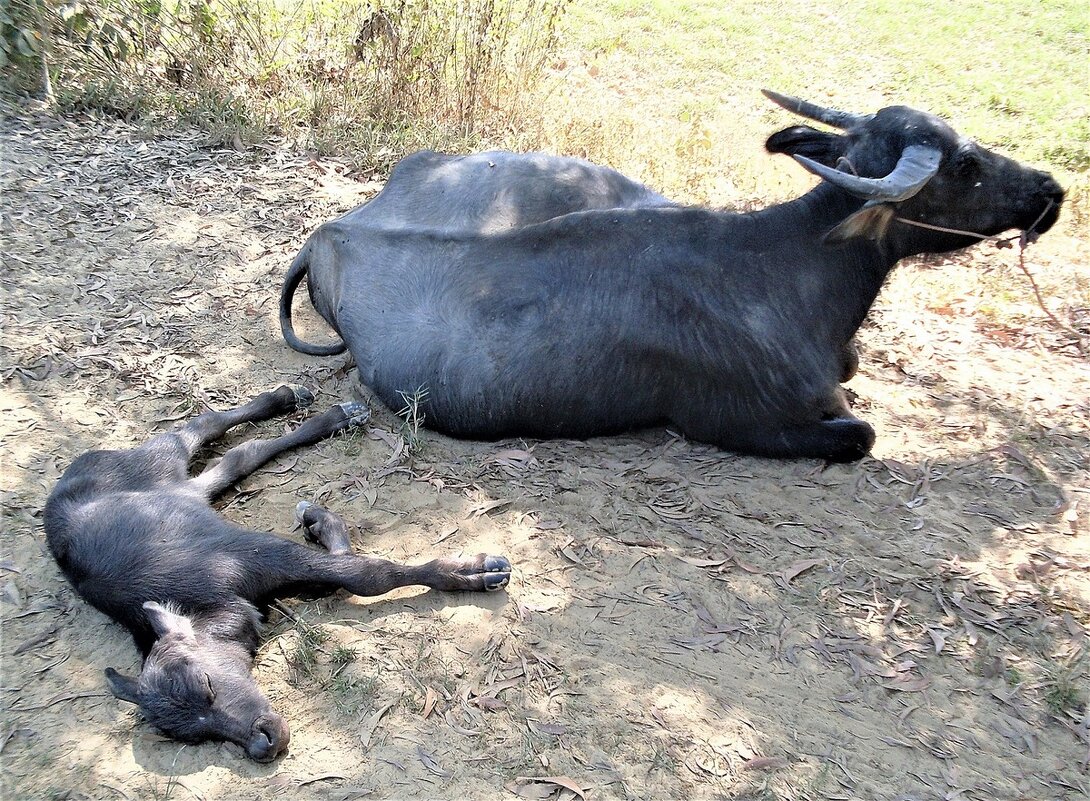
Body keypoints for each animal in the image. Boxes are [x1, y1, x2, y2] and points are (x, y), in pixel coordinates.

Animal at [279, 91, 1063, 464]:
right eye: (964, 163)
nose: (1050, 190)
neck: (788, 271)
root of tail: (332, 231)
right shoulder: (749, 421)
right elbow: (861, 433)